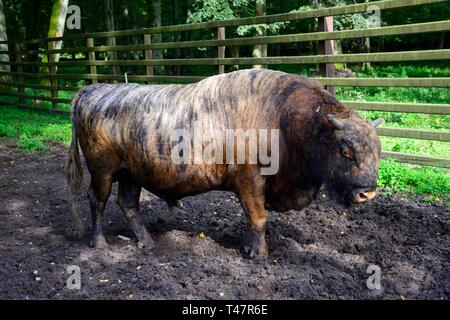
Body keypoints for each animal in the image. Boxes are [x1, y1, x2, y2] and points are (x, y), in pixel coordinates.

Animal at [65, 69, 382, 258]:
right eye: (345, 150)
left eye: (378, 152)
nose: (367, 192)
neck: (285, 118)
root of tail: (93, 90)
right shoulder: (250, 182)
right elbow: (258, 218)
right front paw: (258, 253)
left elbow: (255, 219)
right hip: (103, 170)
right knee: (97, 200)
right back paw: (100, 243)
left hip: (131, 174)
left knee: (128, 204)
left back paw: (148, 242)